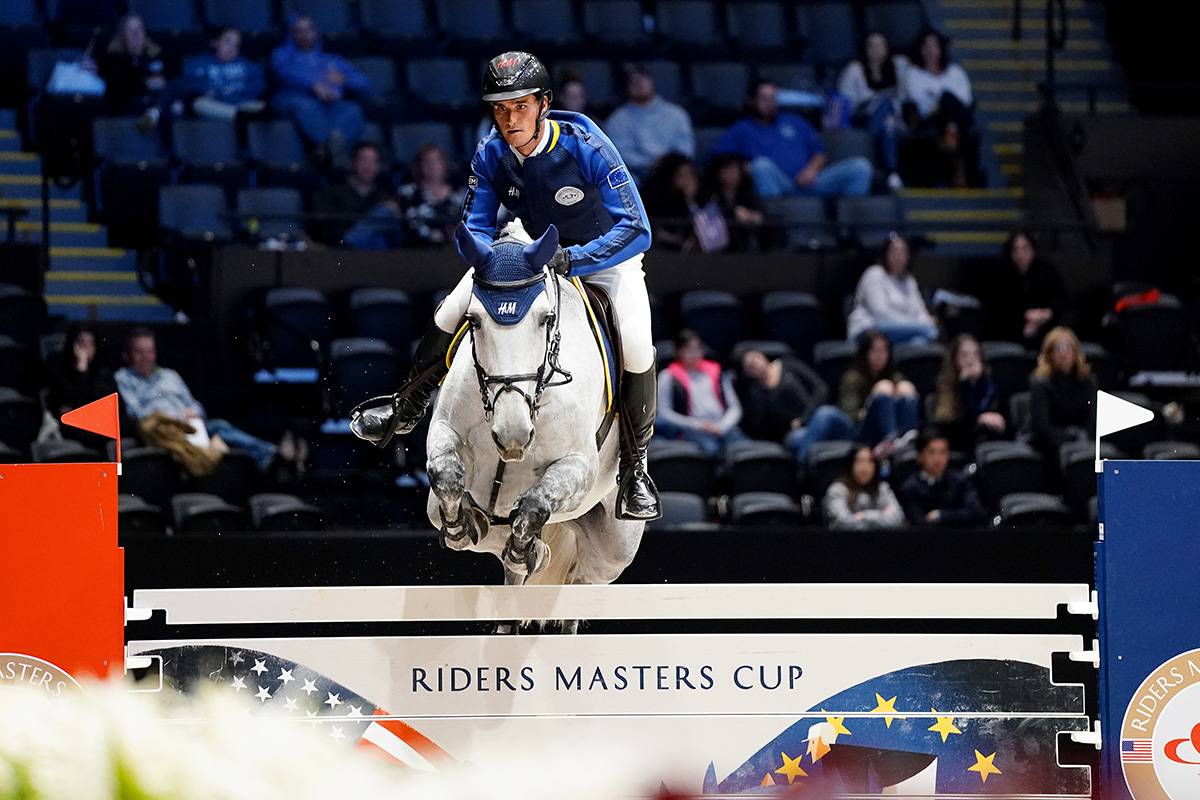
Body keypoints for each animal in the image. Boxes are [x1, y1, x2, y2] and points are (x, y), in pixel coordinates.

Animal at [424, 219, 643, 614]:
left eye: (546, 319)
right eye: (473, 321)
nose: (513, 435)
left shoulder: (577, 465)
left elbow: (535, 505)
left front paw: (524, 546)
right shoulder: (444, 432)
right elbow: (446, 476)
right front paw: (463, 527)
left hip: (614, 548)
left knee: (580, 580)